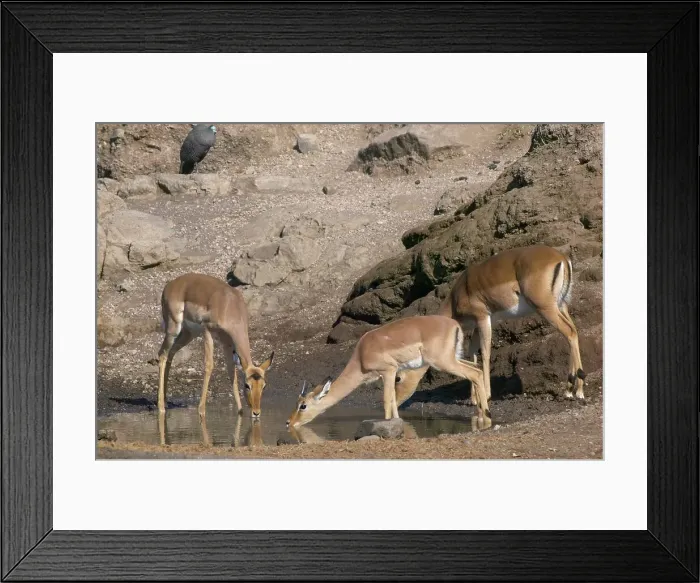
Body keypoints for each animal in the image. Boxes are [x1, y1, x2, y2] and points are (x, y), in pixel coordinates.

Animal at [157, 273, 274, 420]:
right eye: (247, 385)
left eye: (264, 386)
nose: (256, 412)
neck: (229, 305)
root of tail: (170, 285)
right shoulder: (207, 331)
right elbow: (209, 365)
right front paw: (201, 410)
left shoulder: (227, 344)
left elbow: (231, 372)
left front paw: (240, 411)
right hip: (173, 329)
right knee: (162, 354)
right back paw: (161, 407)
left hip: (189, 334)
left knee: (170, 354)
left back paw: (166, 401)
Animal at [286, 314, 489, 428]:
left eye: (303, 405)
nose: (289, 422)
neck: (361, 355)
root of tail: (454, 324)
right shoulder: (390, 374)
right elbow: (393, 400)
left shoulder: (389, 371)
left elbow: (386, 400)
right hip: (453, 358)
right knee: (477, 368)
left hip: (443, 362)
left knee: (474, 373)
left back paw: (487, 416)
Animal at [394, 244, 586, 406]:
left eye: (398, 378)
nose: (394, 403)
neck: (457, 295)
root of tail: (561, 258)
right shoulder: (478, 324)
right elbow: (472, 353)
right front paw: (473, 398)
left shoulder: (482, 318)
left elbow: (485, 353)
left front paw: (485, 395)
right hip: (561, 305)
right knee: (574, 331)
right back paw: (572, 390)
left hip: (546, 308)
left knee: (569, 332)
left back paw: (575, 391)